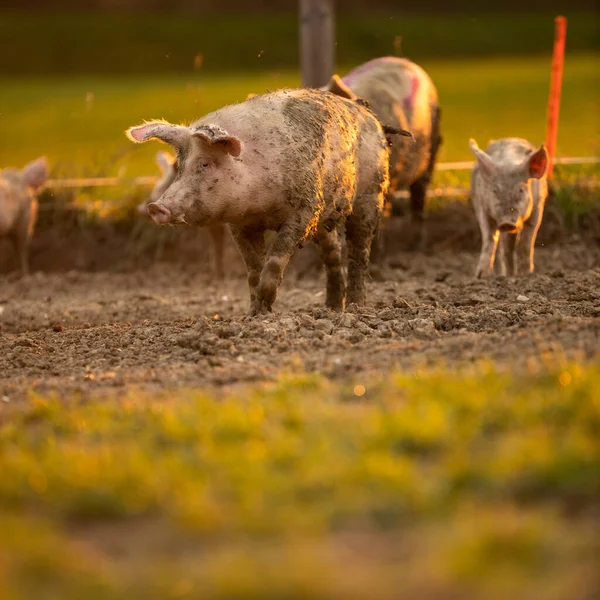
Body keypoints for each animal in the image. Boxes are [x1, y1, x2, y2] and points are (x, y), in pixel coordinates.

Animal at [468, 137, 548, 278]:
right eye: (495, 191)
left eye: (520, 190)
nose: (506, 223)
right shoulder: (482, 208)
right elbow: (489, 239)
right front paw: (480, 276)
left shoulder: (537, 208)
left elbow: (526, 243)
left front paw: (526, 274)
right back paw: (501, 275)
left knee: (509, 247)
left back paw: (510, 275)